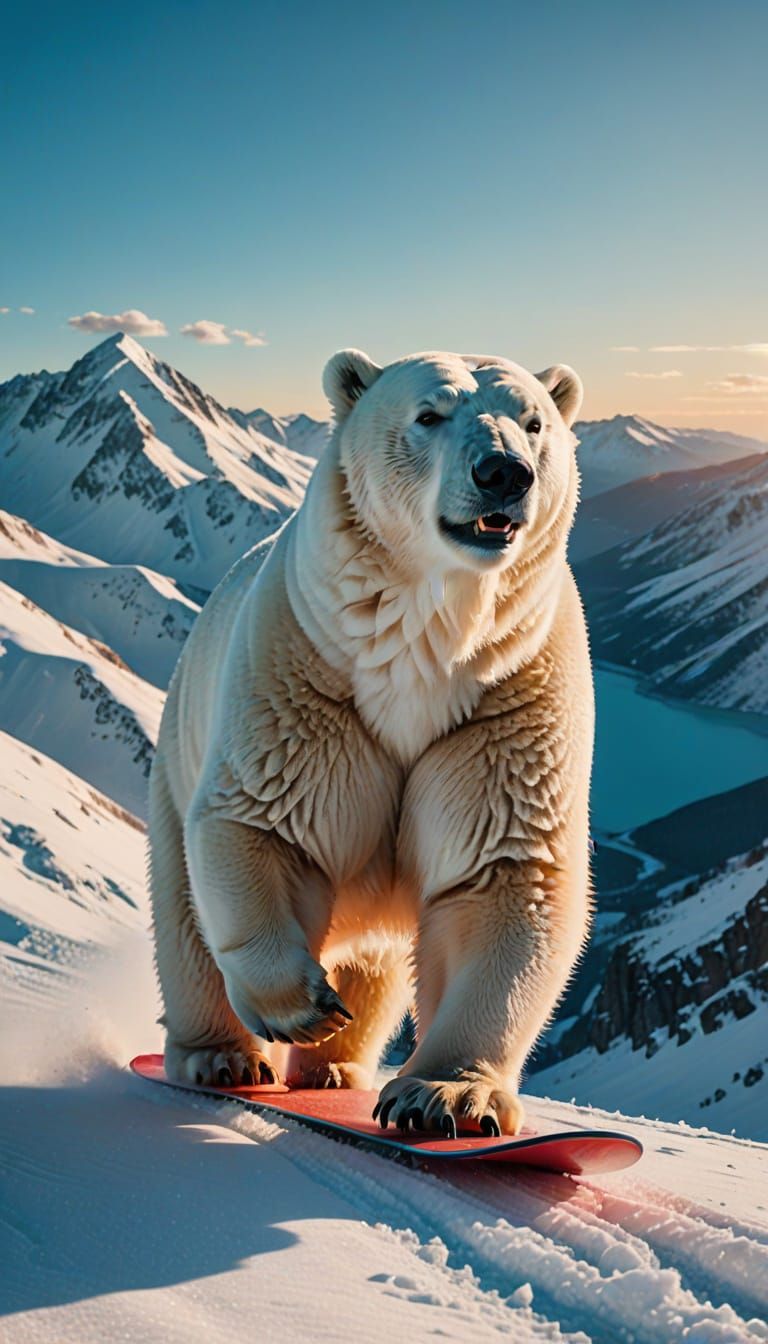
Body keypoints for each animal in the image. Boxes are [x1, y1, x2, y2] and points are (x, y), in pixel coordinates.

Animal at [148, 348, 594, 1137]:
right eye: (429, 413)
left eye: (535, 421)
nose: (504, 472)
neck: (425, 647)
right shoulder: (308, 675)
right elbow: (264, 822)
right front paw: (304, 1008)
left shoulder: (505, 702)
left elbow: (504, 873)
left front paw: (446, 1098)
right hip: (174, 763)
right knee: (185, 923)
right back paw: (224, 1058)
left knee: (377, 965)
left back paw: (337, 1070)